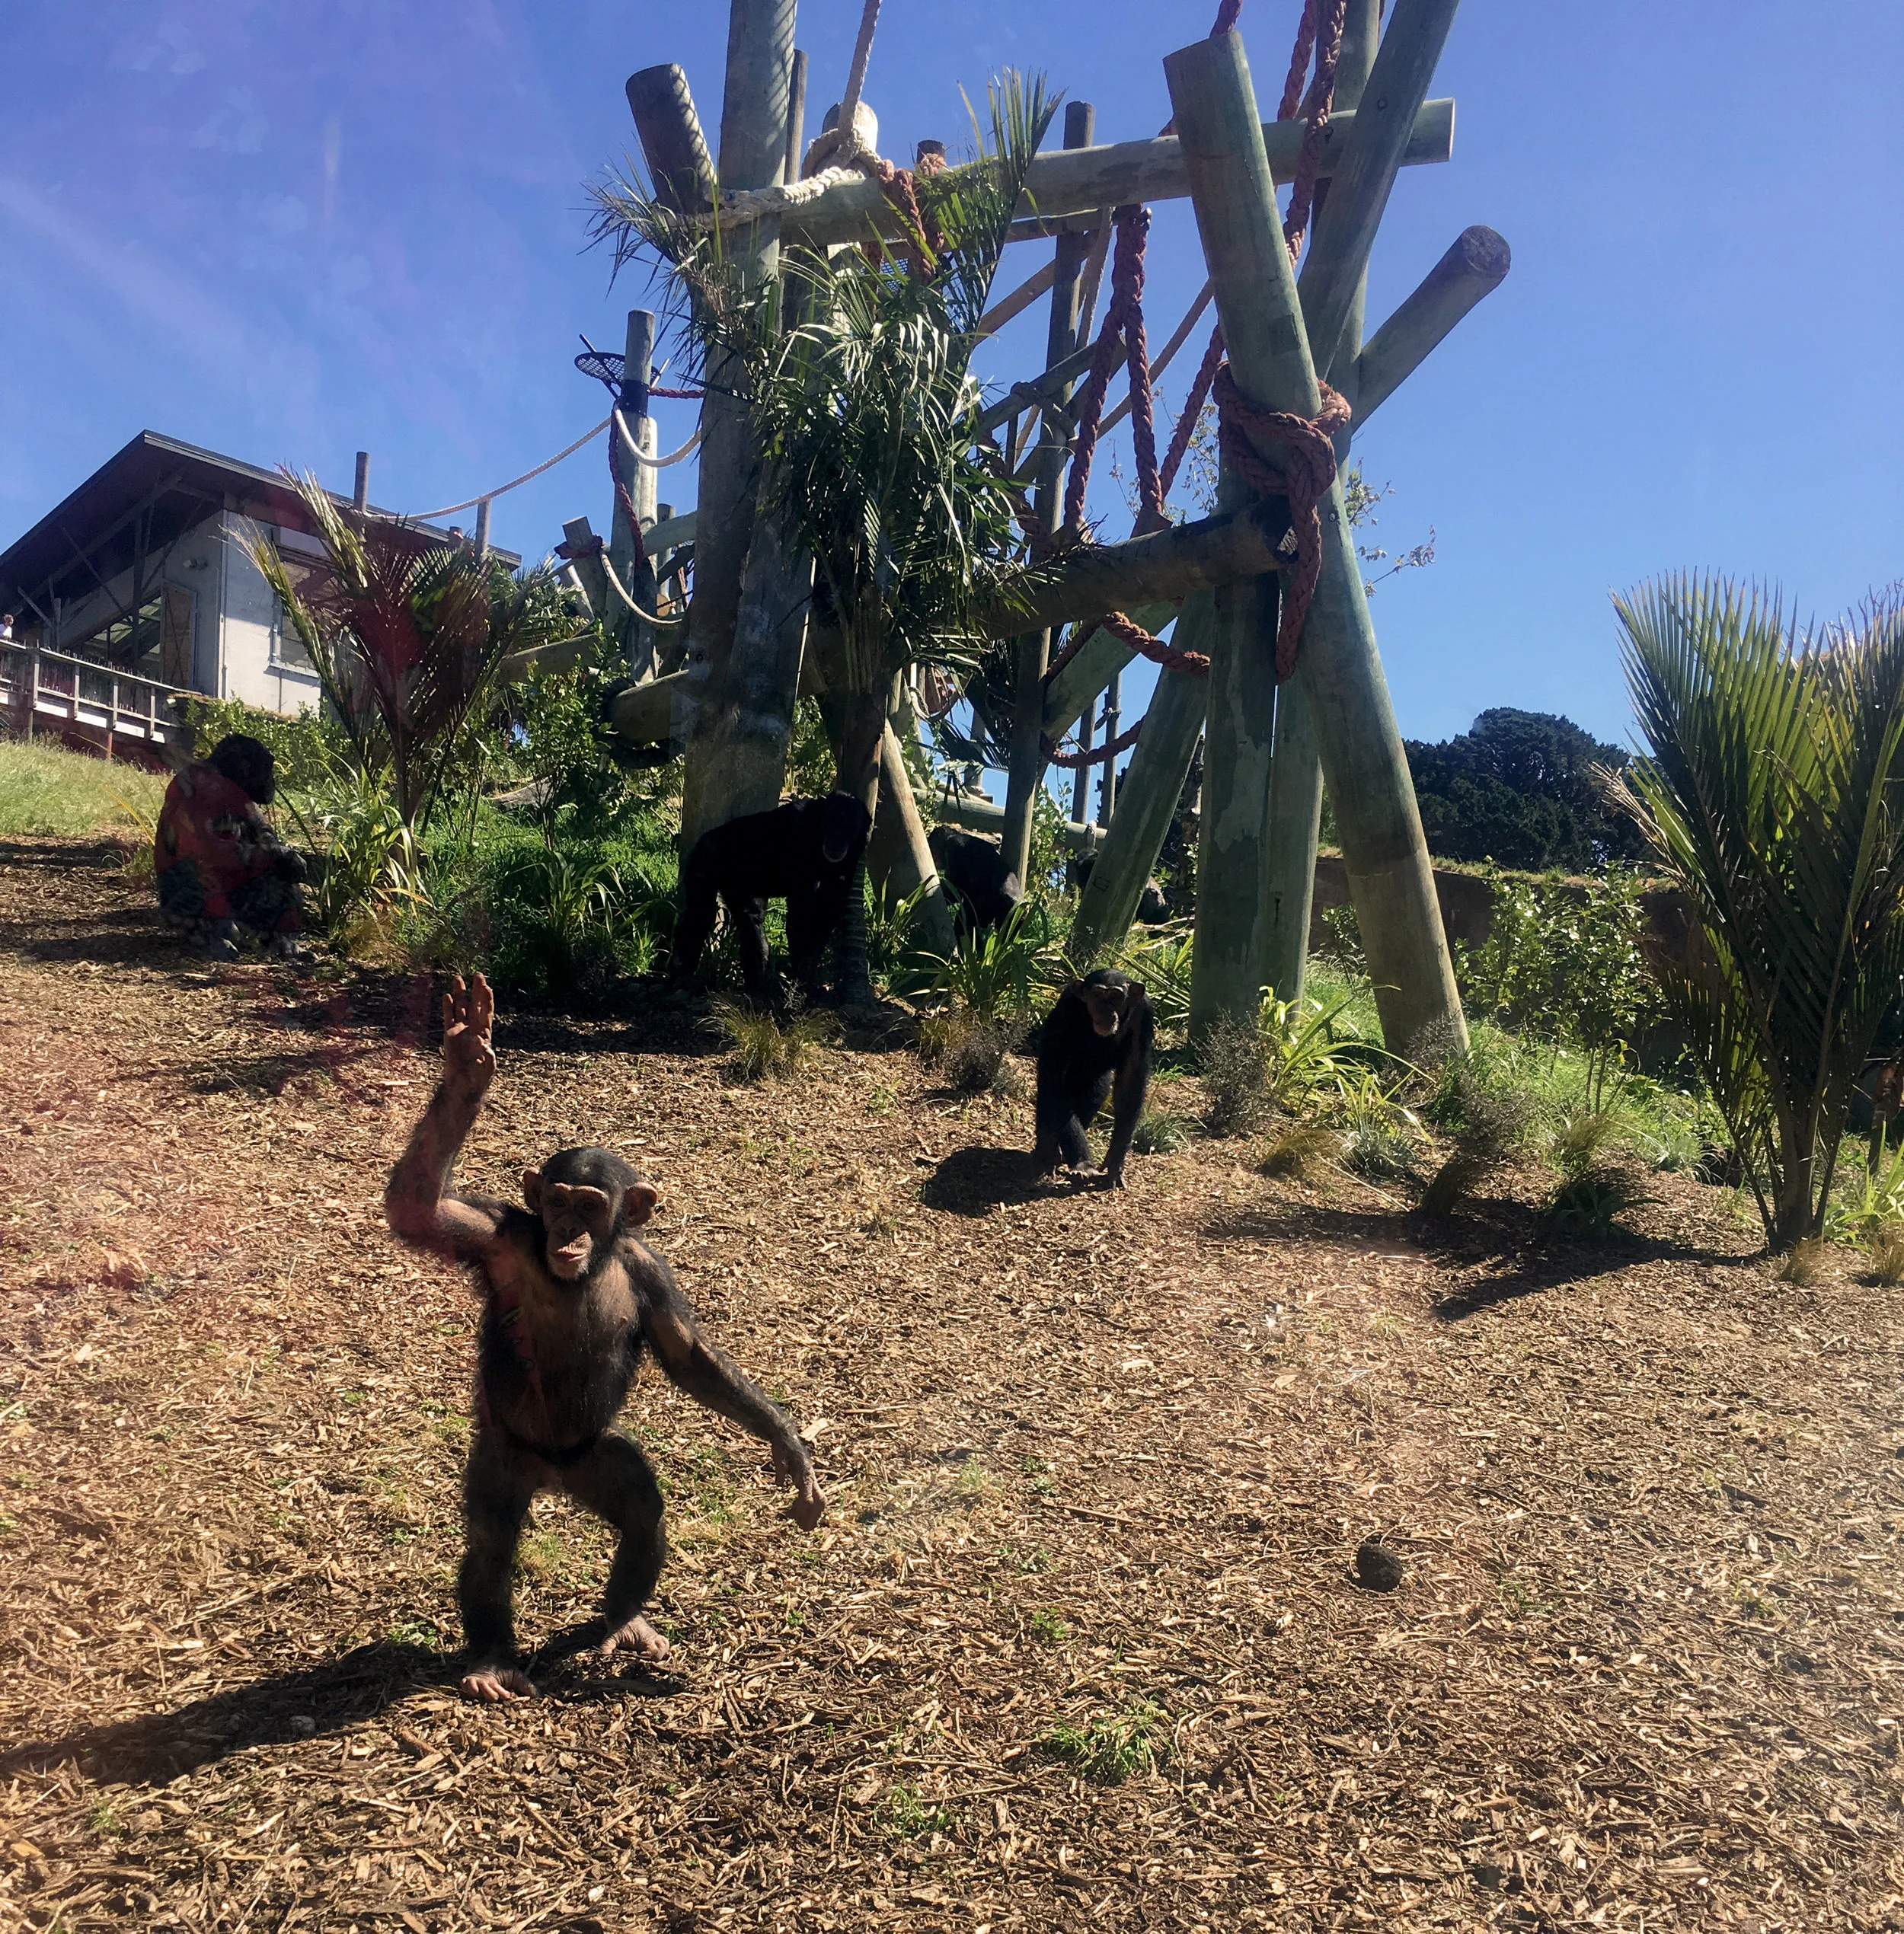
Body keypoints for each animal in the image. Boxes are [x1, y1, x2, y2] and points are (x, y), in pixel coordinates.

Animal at [384, 972, 825, 1701]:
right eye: (558, 1201)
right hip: (506, 1454)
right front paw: (468, 1063)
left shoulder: (652, 1272)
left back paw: (624, 1622)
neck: (585, 1270)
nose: (567, 1231)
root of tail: (554, 1474)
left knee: (643, 1514)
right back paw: (491, 1659)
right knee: (492, 1540)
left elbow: (689, 1355)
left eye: (591, 1206)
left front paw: (789, 1447)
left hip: (597, 1458)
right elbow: (420, 1208)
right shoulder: (495, 1236)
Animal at [671, 793, 873, 994]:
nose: (837, 838)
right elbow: (800, 918)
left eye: (848, 827)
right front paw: (801, 982)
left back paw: (757, 983)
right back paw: (683, 977)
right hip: (705, 858)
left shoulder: (855, 854)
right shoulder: (801, 841)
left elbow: (828, 909)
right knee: (700, 914)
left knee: (750, 918)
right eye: (832, 823)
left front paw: (810, 977)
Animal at [1032, 969, 1155, 1189]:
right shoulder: (1067, 1008)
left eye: (1115, 997)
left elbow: (1130, 1082)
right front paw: (1077, 1162)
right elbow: (1054, 1073)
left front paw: (1115, 1163)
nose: (1105, 1010)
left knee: (1095, 1093)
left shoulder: (1144, 1014)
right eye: (1097, 996)